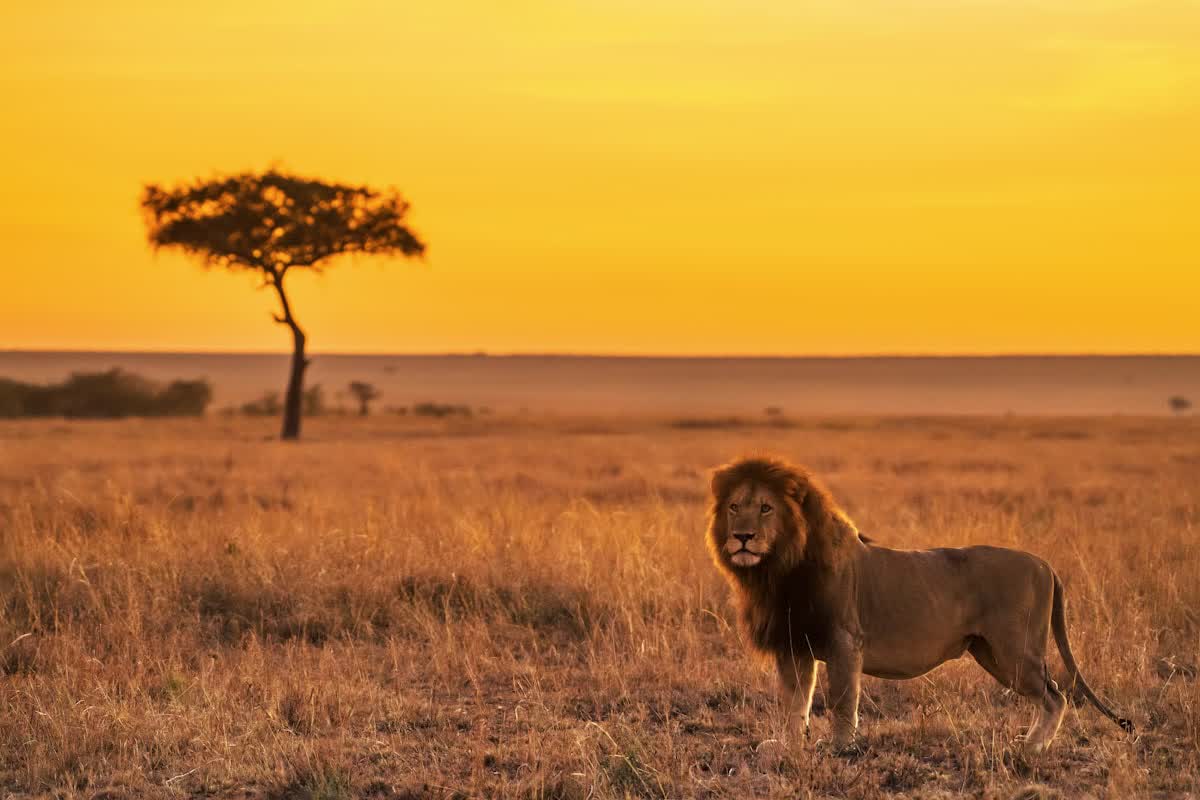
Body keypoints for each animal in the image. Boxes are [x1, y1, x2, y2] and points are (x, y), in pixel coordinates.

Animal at [705, 456, 1133, 752]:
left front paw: (841, 747)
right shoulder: (794, 644)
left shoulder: (845, 640)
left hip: (1015, 650)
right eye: (734, 507)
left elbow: (842, 700)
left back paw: (1031, 749)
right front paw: (790, 747)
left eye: (766, 508)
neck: (778, 569)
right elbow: (795, 702)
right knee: (1050, 694)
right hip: (991, 654)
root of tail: (1044, 563)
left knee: (1055, 695)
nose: (742, 537)